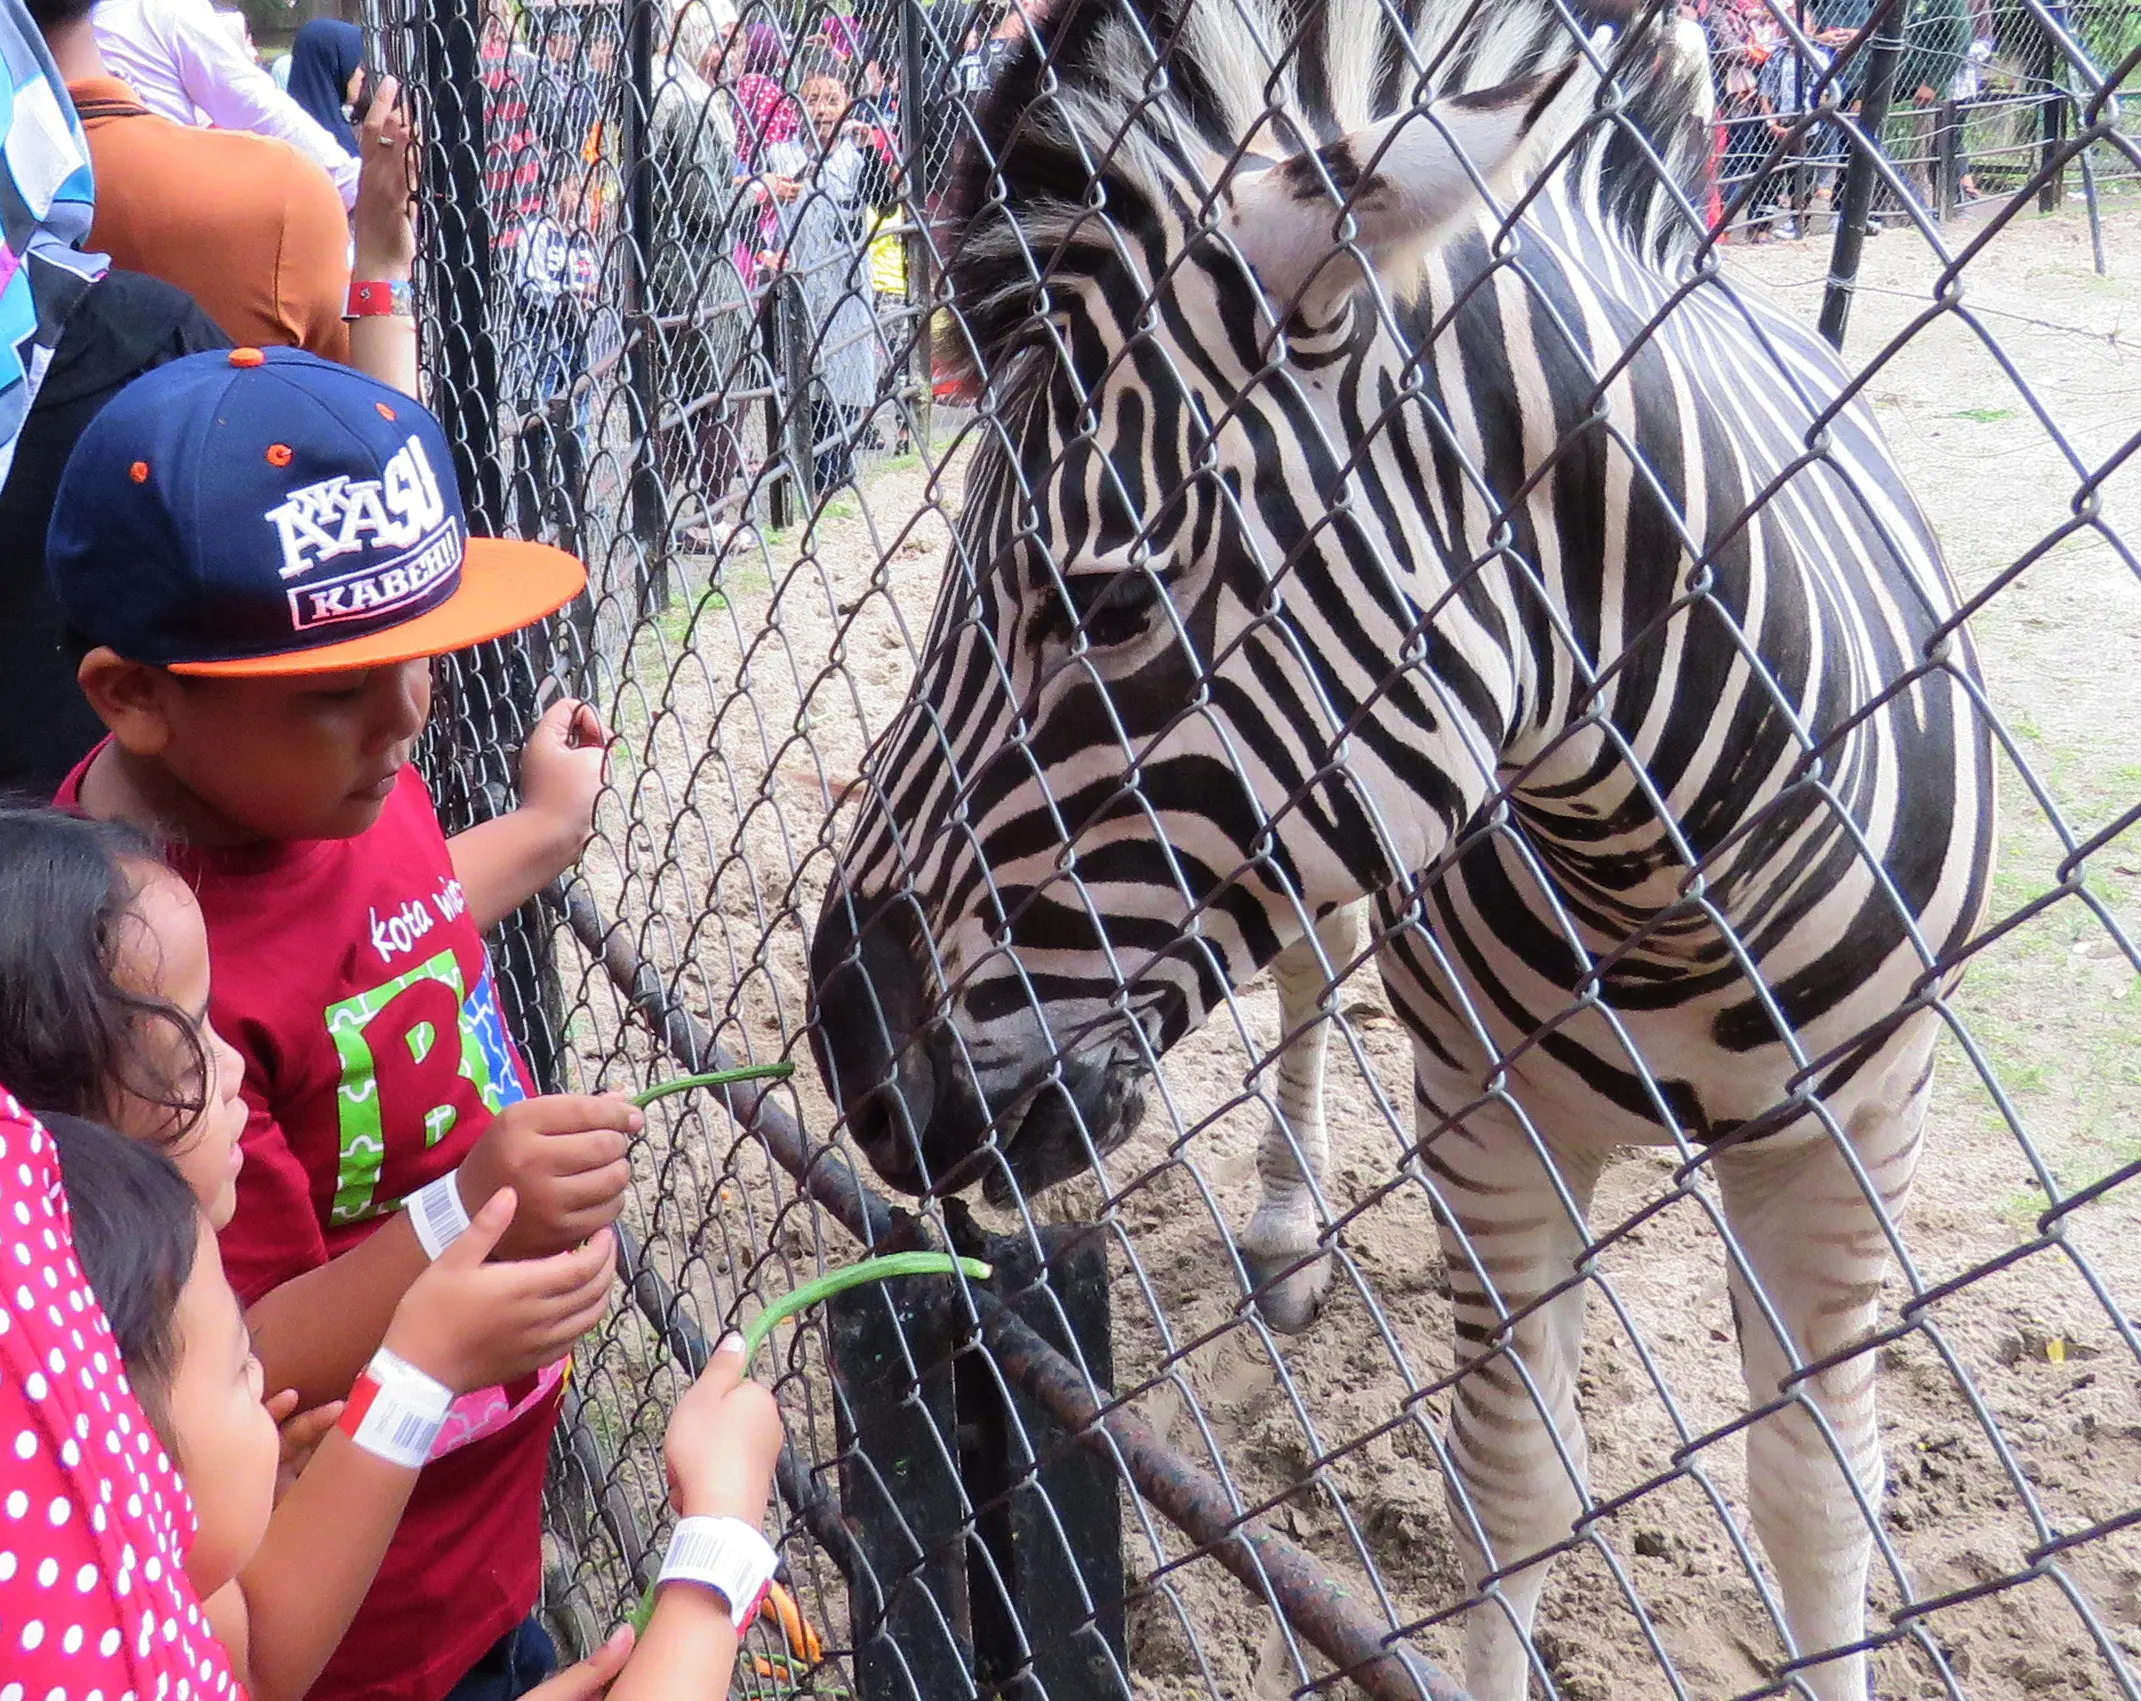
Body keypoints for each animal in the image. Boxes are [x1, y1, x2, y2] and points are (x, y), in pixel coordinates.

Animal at [805, 0, 1986, 1688]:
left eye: (1105, 602)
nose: (843, 1041)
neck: (1662, 876)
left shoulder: (1852, 1146)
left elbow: (1823, 1507)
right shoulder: (1492, 1123)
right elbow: (1517, 1481)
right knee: (1315, 978)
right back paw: (1292, 1233)